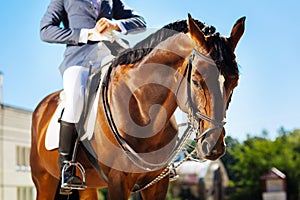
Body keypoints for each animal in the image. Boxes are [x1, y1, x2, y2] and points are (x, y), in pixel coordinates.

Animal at [29, 14, 246, 200]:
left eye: (235, 83)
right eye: (195, 80)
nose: (214, 146)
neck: (144, 111)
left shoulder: (157, 183)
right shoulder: (118, 180)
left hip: (87, 187)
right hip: (44, 181)